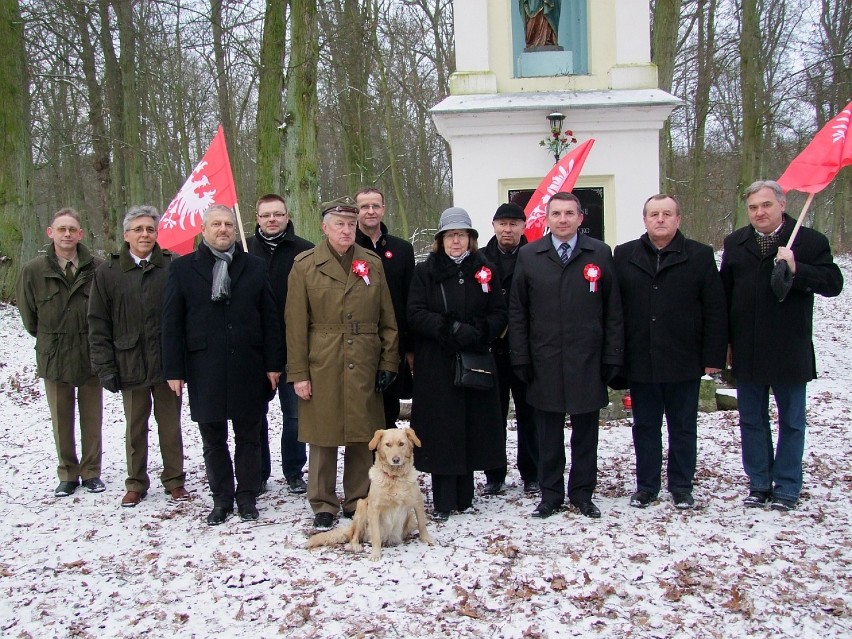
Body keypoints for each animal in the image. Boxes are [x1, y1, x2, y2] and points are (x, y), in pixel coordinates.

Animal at [306, 430, 436, 560]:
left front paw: (426, 539)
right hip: (362, 507)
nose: (396, 459)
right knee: (354, 536)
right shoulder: (374, 509)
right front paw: (375, 554)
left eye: (401, 444)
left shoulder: (418, 503)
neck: (394, 478)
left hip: (410, 518)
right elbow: (376, 536)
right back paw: (356, 546)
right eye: (387, 445)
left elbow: (422, 525)